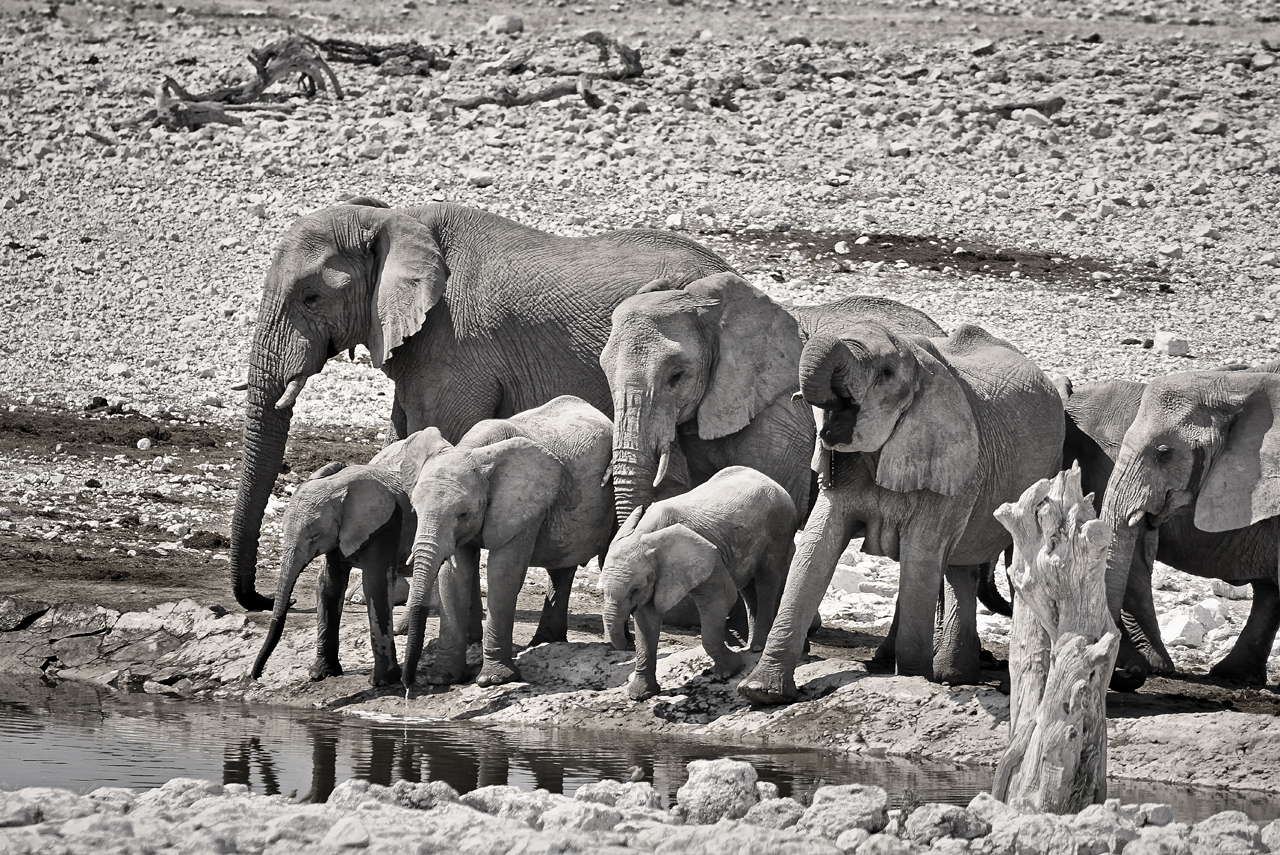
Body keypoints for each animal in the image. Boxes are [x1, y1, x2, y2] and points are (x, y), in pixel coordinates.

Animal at [231, 200, 732, 611]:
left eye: (311, 297)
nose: (259, 600)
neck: (396, 219)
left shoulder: (455, 345)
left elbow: (441, 436)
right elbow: (404, 438)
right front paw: (378, 592)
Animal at [249, 440, 409, 686]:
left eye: (314, 535)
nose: (256, 676)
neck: (337, 484)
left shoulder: (386, 525)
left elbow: (375, 585)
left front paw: (383, 682)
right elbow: (328, 585)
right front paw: (321, 674)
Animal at [596, 468, 788, 701]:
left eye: (635, 589)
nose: (627, 641)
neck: (645, 534)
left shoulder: (709, 556)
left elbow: (721, 598)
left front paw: (730, 670)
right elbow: (646, 620)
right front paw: (639, 695)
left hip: (778, 529)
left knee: (767, 582)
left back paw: (758, 647)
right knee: (748, 589)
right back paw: (752, 646)